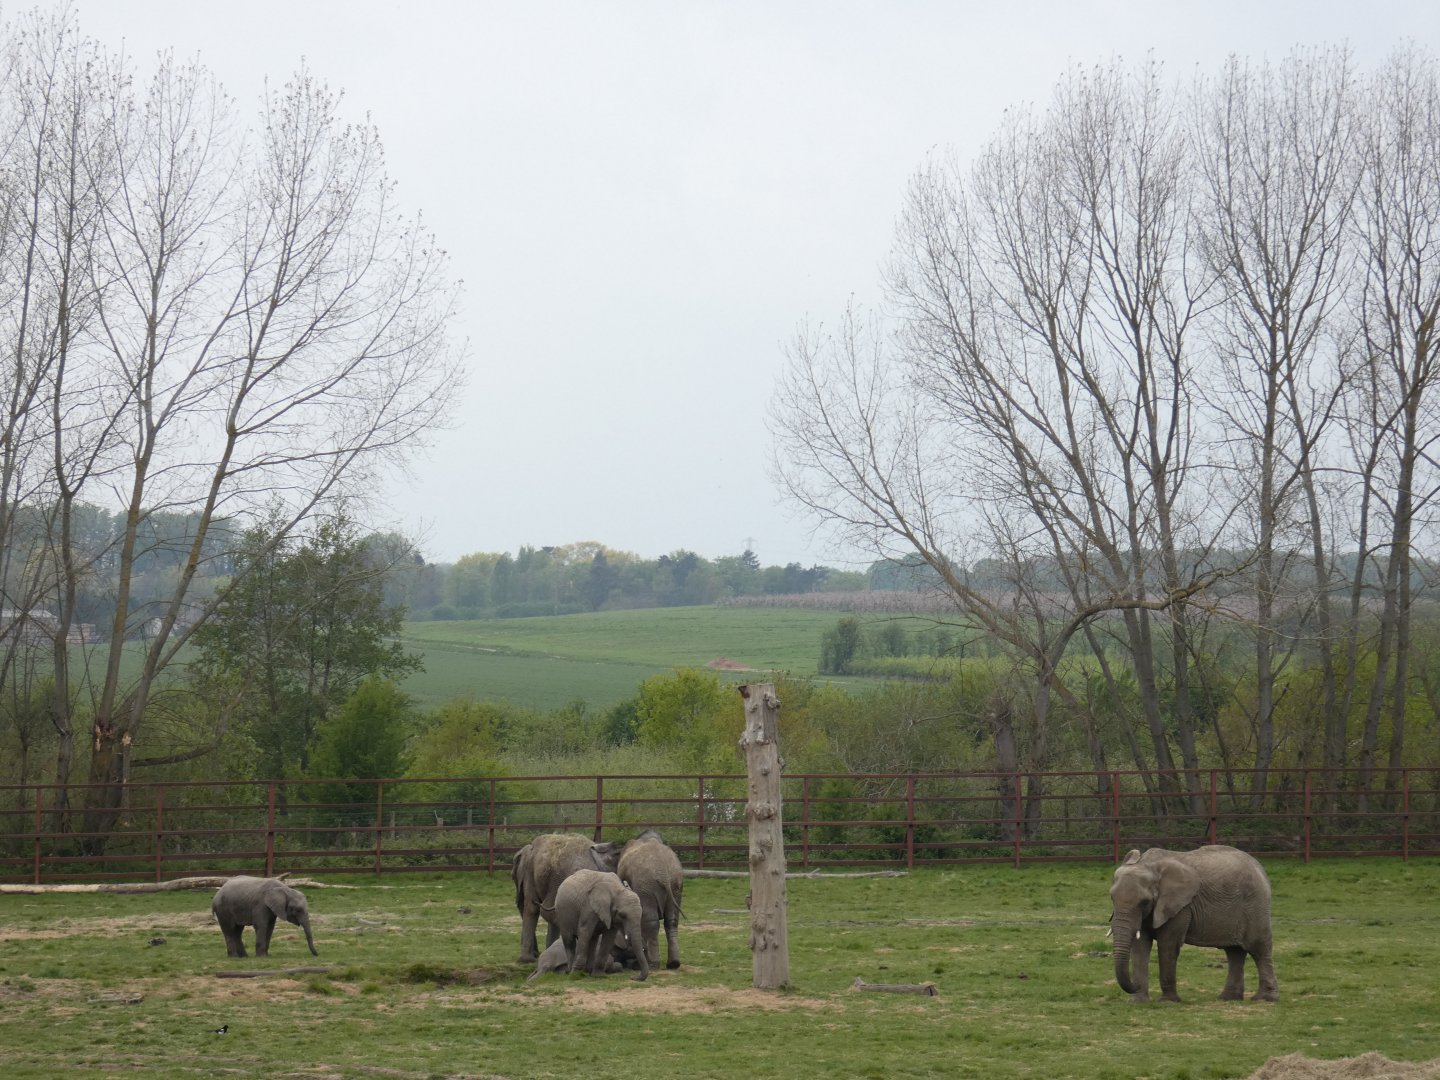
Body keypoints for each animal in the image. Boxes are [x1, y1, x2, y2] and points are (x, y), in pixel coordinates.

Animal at [617, 828, 684, 970]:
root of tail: (664, 874)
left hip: (647, 886)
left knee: (651, 922)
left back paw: (653, 964)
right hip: (676, 885)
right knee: (671, 921)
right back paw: (673, 964)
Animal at [1109, 845, 1278, 1003]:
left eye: (1144, 902)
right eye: (1112, 898)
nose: (1135, 985)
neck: (1148, 864)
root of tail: (1259, 866)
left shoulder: (1181, 907)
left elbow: (1167, 944)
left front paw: (1168, 1002)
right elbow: (1140, 946)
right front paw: (1138, 1002)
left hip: (1255, 905)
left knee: (1258, 949)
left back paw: (1264, 999)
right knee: (1234, 951)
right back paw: (1228, 998)